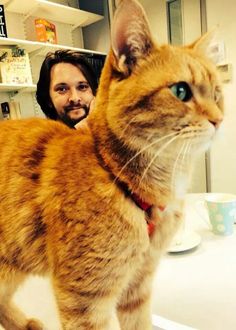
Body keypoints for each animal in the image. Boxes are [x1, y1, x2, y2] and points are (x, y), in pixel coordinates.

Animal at [0, 0, 223, 330]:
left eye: (218, 94)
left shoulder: (137, 287)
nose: (219, 120)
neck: (116, 175)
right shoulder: (85, 300)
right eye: (180, 91)